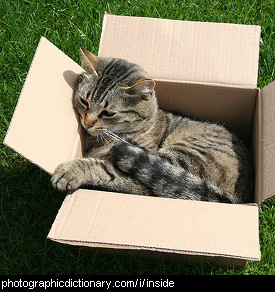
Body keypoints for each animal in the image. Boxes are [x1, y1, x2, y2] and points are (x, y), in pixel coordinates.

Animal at [51, 47, 254, 203]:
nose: (86, 123)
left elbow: (105, 168)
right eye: (84, 101)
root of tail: (240, 198)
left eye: (108, 113)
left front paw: (70, 170)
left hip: (180, 157)